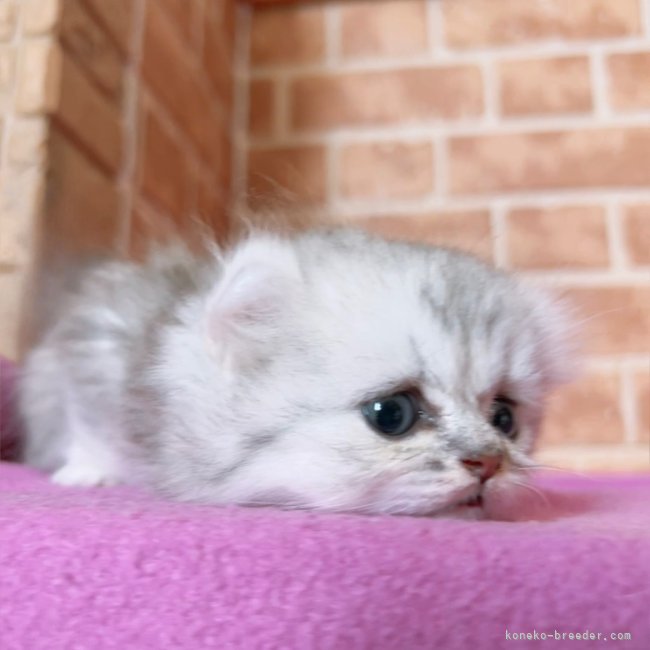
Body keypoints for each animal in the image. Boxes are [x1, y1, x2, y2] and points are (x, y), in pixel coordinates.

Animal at [19, 228, 572, 516]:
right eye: (390, 414)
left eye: (505, 419)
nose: (489, 464)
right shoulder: (92, 347)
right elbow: (86, 428)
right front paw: (87, 472)